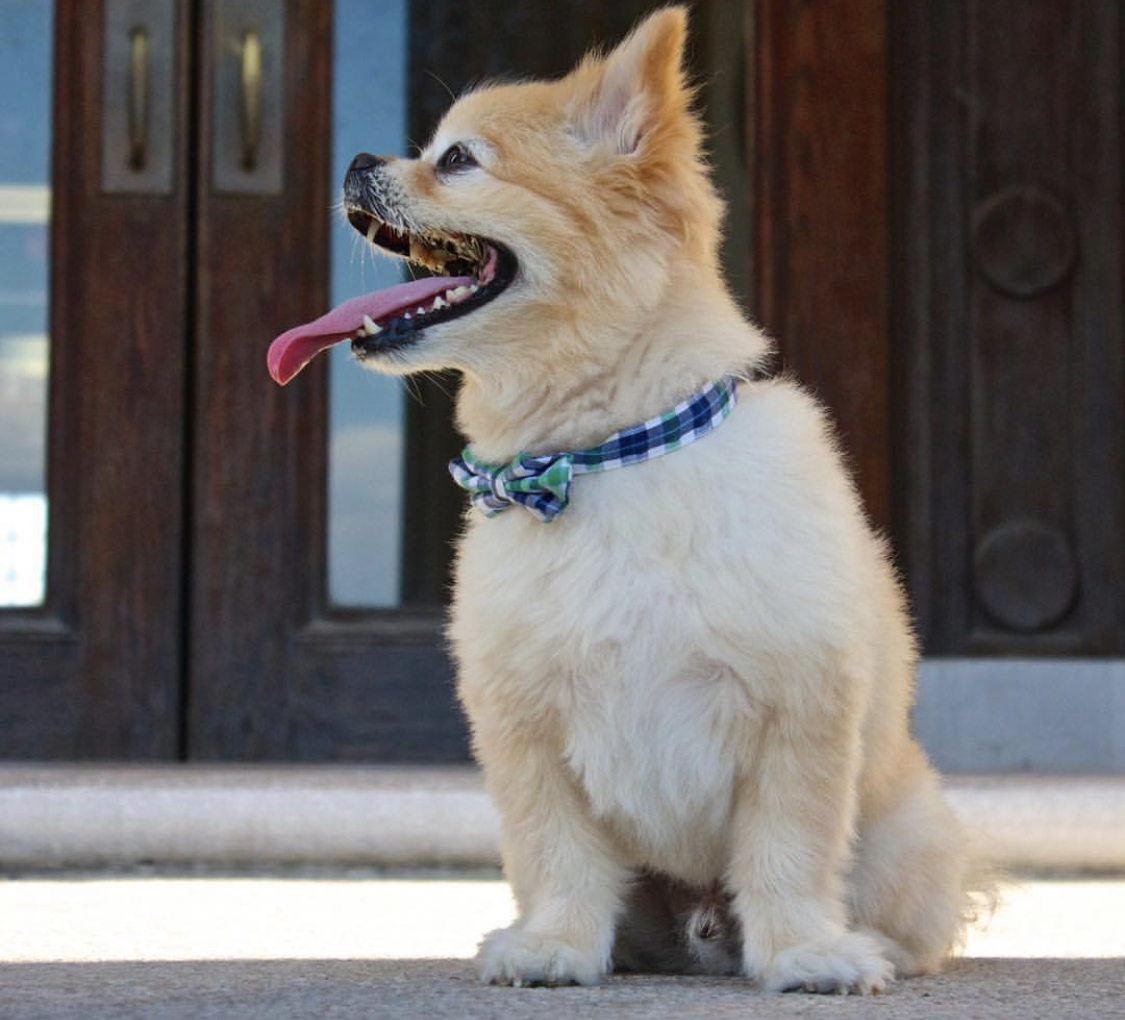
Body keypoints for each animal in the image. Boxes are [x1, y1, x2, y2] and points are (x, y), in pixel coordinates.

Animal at [267, 5, 981, 998]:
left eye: (457, 160)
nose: (359, 158)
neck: (603, 455)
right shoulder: (525, 725)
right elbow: (556, 852)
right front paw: (554, 946)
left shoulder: (796, 711)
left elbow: (788, 849)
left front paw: (804, 953)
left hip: (905, 841)